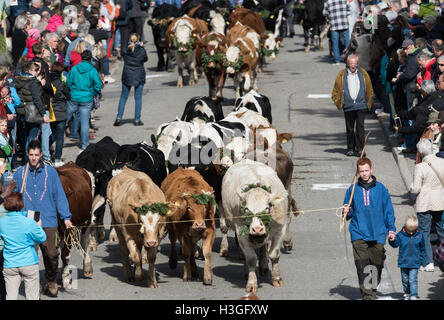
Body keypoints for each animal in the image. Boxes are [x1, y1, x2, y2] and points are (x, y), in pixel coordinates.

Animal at [56, 162, 94, 290]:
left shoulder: (69, 229)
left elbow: (65, 255)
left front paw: (66, 279)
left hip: (87, 219)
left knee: (84, 240)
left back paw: (87, 266)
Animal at [221, 160, 290, 292]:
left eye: (267, 208)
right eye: (246, 209)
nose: (257, 229)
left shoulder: (279, 230)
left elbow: (274, 255)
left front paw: (277, 278)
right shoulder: (241, 234)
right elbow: (251, 259)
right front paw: (252, 283)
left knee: (263, 248)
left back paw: (263, 266)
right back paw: (247, 272)